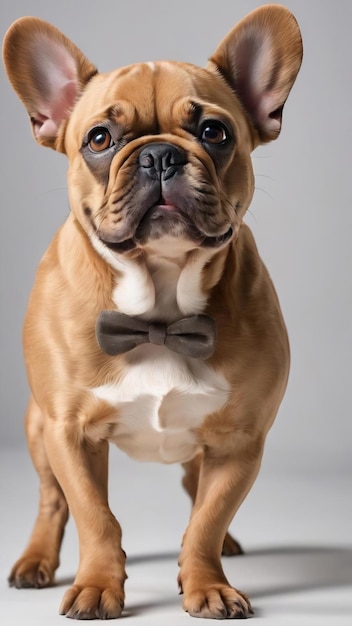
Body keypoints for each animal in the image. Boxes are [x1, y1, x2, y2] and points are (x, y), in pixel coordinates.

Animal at [2, 4, 302, 616]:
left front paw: (207, 584)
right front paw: (97, 585)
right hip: (37, 429)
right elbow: (94, 516)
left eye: (214, 132)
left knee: (194, 490)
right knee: (52, 501)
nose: (160, 154)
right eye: (99, 138)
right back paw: (35, 561)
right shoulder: (69, 433)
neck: (160, 311)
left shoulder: (240, 440)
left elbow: (207, 518)